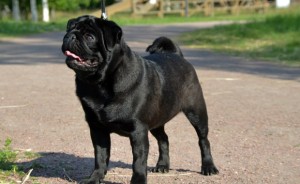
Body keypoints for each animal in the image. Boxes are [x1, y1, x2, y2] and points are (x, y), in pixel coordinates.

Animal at [62, 15, 218, 183]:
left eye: (89, 37)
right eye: (69, 30)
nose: (70, 36)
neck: (99, 84)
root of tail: (176, 54)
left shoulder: (138, 130)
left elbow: (138, 161)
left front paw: (138, 180)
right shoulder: (98, 129)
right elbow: (101, 156)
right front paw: (95, 178)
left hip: (196, 113)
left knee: (203, 140)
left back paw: (208, 167)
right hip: (157, 120)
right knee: (163, 139)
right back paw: (163, 165)